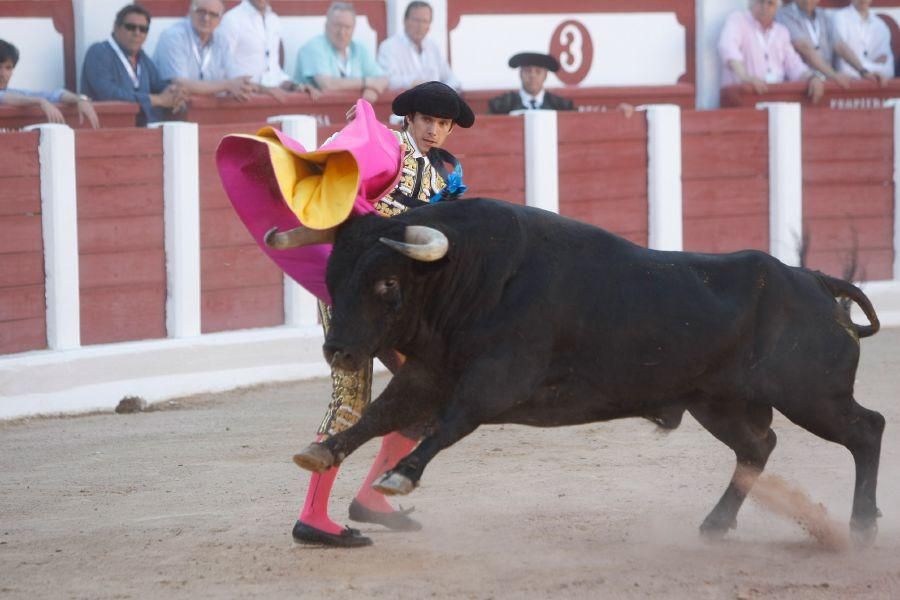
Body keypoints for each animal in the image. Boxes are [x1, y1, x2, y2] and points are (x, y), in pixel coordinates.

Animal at [284, 198, 884, 544]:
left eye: (387, 283)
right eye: (333, 279)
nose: (338, 350)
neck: (474, 274)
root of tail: (815, 281)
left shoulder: (494, 383)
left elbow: (448, 424)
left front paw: (402, 475)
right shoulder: (428, 376)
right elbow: (378, 417)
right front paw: (323, 450)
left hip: (813, 396)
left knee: (866, 429)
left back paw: (861, 527)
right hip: (718, 404)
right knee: (759, 447)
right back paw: (715, 525)